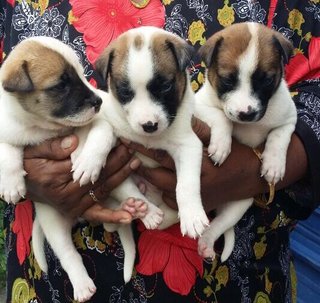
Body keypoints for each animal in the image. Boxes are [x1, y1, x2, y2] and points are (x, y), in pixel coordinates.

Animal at [0, 36, 115, 302]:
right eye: (61, 85)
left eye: (82, 75)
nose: (99, 101)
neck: (42, 127)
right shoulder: (9, 128)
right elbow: (7, 148)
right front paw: (11, 184)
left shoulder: (103, 122)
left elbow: (101, 133)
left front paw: (87, 163)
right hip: (52, 222)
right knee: (68, 254)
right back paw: (82, 285)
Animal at [95, 26, 209, 282]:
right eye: (125, 92)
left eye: (165, 87)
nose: (149, 125)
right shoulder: (116, 132)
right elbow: (101, 135)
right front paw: (88, 161)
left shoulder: (188, 145)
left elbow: (186, 185)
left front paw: (192, 215)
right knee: (128, 191)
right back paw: (140, 210)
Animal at [195, 22, 298, 262]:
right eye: (227, 80)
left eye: (267, 80)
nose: (246, 114)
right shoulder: (197, 106)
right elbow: (221, 116)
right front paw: (222, 146)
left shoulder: (289, 118)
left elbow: (279, 137)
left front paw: (273, 166)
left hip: (239, 205)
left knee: (218, 225)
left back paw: (206, 243)